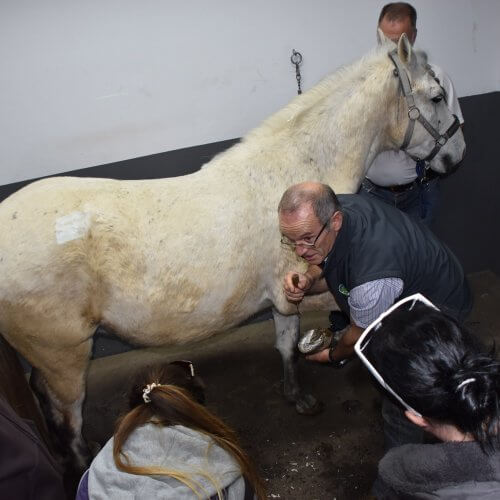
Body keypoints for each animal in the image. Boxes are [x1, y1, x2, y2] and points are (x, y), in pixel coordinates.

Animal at [0, 37, 464, 470]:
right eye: (436, 96)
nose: (455, 158)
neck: (299, 170)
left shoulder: (287, 291)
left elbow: (286, 343)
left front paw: (295, 395)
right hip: (66, 356)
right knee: (68, 417)